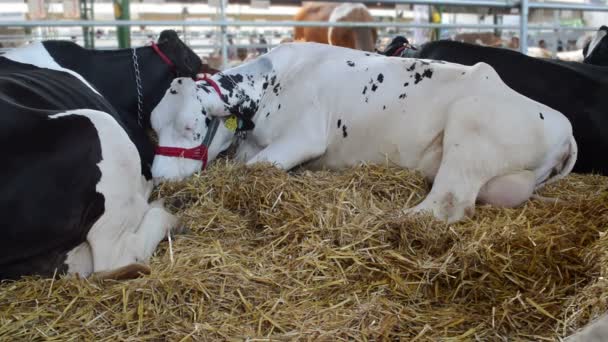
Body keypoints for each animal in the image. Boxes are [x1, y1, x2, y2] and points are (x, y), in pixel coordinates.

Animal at [150, 42, 576, 224]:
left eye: (191, 126)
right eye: (153, 126)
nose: (158, 178)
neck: (273, 82)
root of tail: (562, 125)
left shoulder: (304, 136)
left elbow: (251, 170)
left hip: (471, 127)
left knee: (448, 203)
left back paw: (395, 219)